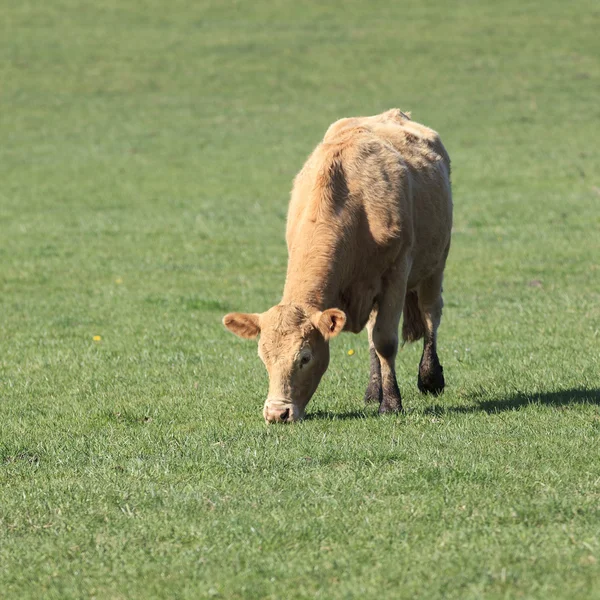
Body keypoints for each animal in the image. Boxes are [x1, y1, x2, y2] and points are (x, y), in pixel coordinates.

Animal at [223, 110, 452, 424]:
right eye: (263, 357)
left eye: (305, 357)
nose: (277, 413)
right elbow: (375, 338)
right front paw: (380, 395)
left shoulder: (396, 273)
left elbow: (386, 340)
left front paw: (392, 403)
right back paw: (374, 389)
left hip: (436, 263)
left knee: (431, 314)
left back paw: (430, 377)